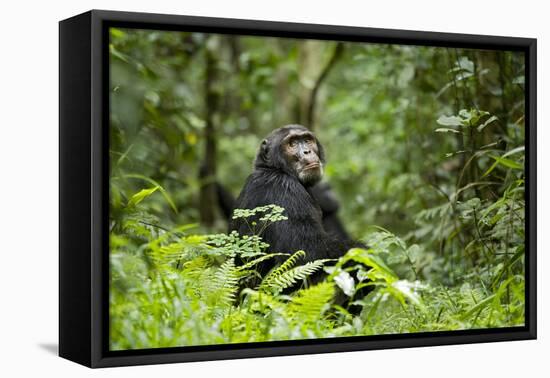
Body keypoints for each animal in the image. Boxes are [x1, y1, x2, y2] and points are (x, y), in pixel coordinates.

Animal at [229, 125, 362, 274]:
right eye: (292, 144)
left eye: (307, 140)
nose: (307, 151)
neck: (276, 170)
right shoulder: (284, 192)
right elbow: (310, 251)